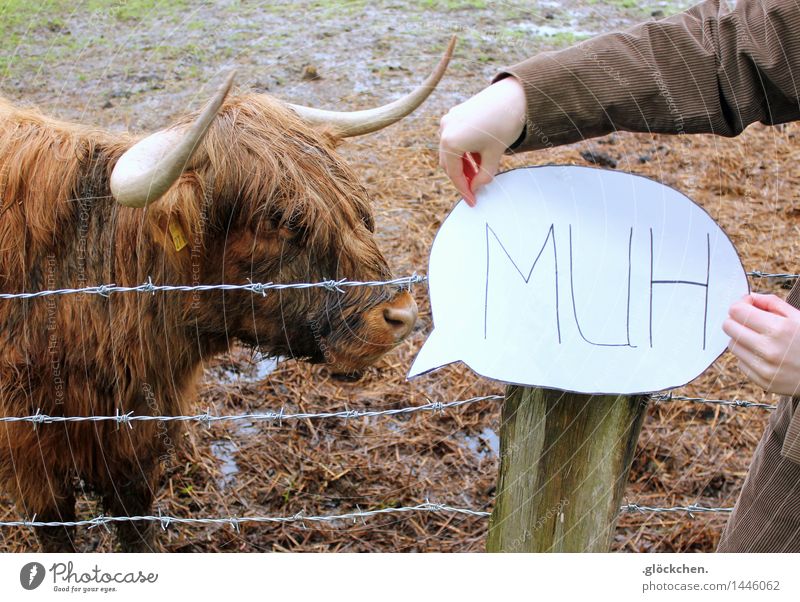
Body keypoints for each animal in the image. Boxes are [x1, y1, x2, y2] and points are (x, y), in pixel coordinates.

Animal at [0, 39, 454, 552]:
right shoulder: (33, 460)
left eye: (354, 201)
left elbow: (137, 528)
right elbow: (57, 533)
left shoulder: (134, 445)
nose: (401, 315)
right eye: (278, 220)